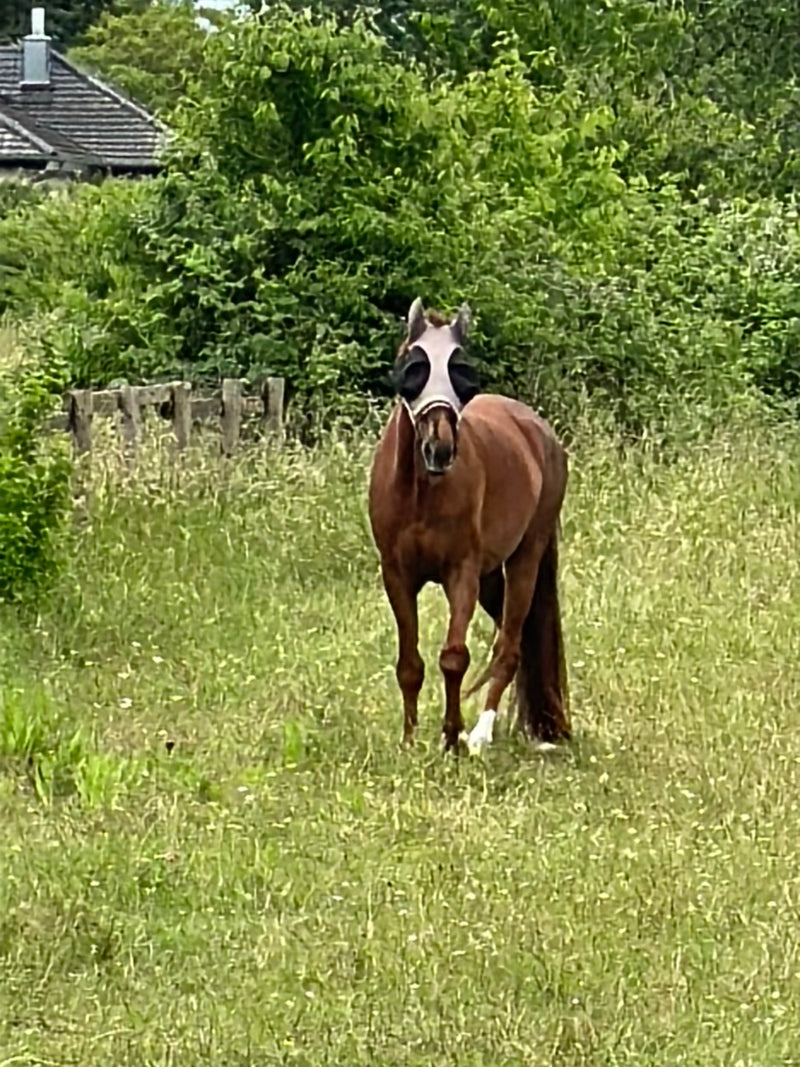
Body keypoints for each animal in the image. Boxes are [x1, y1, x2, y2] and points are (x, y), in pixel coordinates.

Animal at [367, 297, 571, 754]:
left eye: (463, 370)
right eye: (413, 366)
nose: (439, 448)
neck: (420, 493)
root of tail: (537, 431)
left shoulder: (461, 573)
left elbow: (454, 656)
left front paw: (452, 738)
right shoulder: (397, 575)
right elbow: (410, 664)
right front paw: (410, 740)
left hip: (524, 560)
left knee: (510, 645)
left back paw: (481, 733)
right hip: (492, 576)